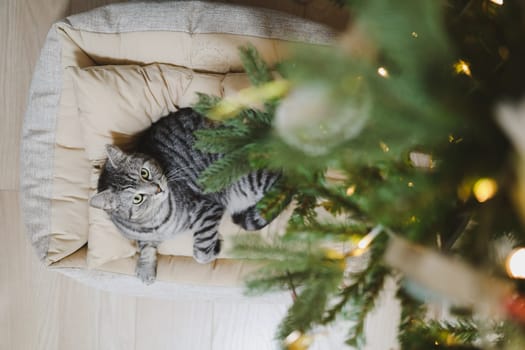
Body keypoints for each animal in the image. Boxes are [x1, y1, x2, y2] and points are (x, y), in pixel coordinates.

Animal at [90, 108, 278, 284]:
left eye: (144, 173)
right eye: (137, 198)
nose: (158, 189)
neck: (155, 221)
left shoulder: (207, 208)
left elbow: (201, 252)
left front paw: (215, 247)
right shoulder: (143, 236)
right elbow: (145, 247)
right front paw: (145, 268)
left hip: (247, 180)